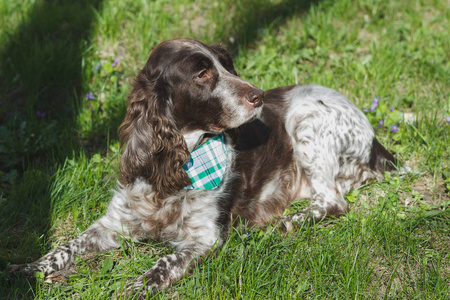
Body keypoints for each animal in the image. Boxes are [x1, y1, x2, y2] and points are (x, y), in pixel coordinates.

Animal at [8, 38, 400, 298]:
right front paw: (28, 269)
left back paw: (288, 222)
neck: (177, 165)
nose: (258, 95)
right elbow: (66, 246)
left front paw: (138, 284)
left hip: (307, 120)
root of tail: (374, 138)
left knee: (332, 201)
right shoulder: (114, 222)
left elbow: (165, 261)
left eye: (227, 66)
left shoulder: (204, 237)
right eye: (201, 74)